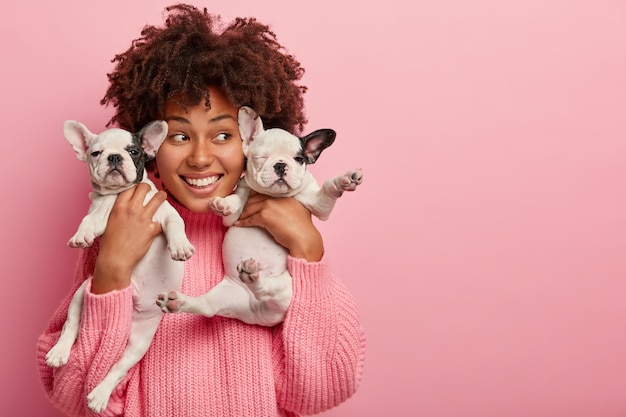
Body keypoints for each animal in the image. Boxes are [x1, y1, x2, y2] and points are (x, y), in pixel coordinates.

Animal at [46, 119, 194, 412]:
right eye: (95, 153)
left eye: (133, 151)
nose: (115, 157)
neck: (119, 194)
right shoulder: (99, 212)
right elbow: (88, 221)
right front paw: (81, 236)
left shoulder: (166, 213)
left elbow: (176, 225)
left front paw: (180, 246)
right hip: (84, 292)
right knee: (71, 325)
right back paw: (60, 353)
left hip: (140, 341)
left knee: (119, 367)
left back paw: (100, 394)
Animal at [155, 107, 360, 328]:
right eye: (261, 156)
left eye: (299, 159)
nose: (280, 165)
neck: (273, 195)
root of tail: (257, 315)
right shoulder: (235, 210)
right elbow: (237, 198)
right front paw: (226, 203)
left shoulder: (318, 205)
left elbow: (326, 191)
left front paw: (343, 181)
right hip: (225, 295)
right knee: (208, 306)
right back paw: (178, 302)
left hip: (287, 286)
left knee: (271, 290)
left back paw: (253, 277)